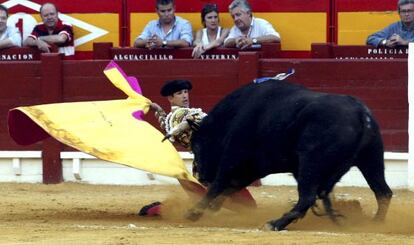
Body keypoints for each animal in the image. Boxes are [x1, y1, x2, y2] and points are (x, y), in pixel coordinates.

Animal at [186, 80, 392, 230]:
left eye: (196, 146)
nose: (199, 175)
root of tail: (361, 113)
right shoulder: (254, 166)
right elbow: (231, 186)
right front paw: (211, 207)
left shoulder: (234, 156)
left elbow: (220, 183)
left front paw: (194, 212)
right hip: (371, 159)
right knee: (383, 192)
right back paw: (376, 224)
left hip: (311, 163)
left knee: (307, 197)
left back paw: (275, 223)